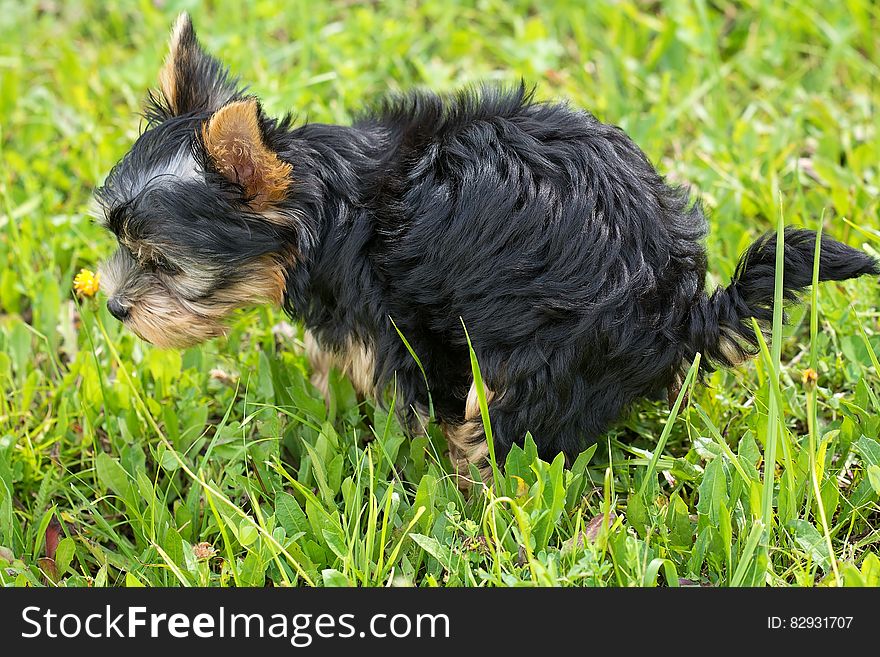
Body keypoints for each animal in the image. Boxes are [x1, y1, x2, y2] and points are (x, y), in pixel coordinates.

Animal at [93, 12, 876, 486]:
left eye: (163, 262)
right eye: (121, 243)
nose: (115, 308)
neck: (326, 204)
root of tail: (682, 310)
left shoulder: (399, 321)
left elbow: (407, 392)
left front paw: (403, 463)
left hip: (544, 355)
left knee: (507, 424)